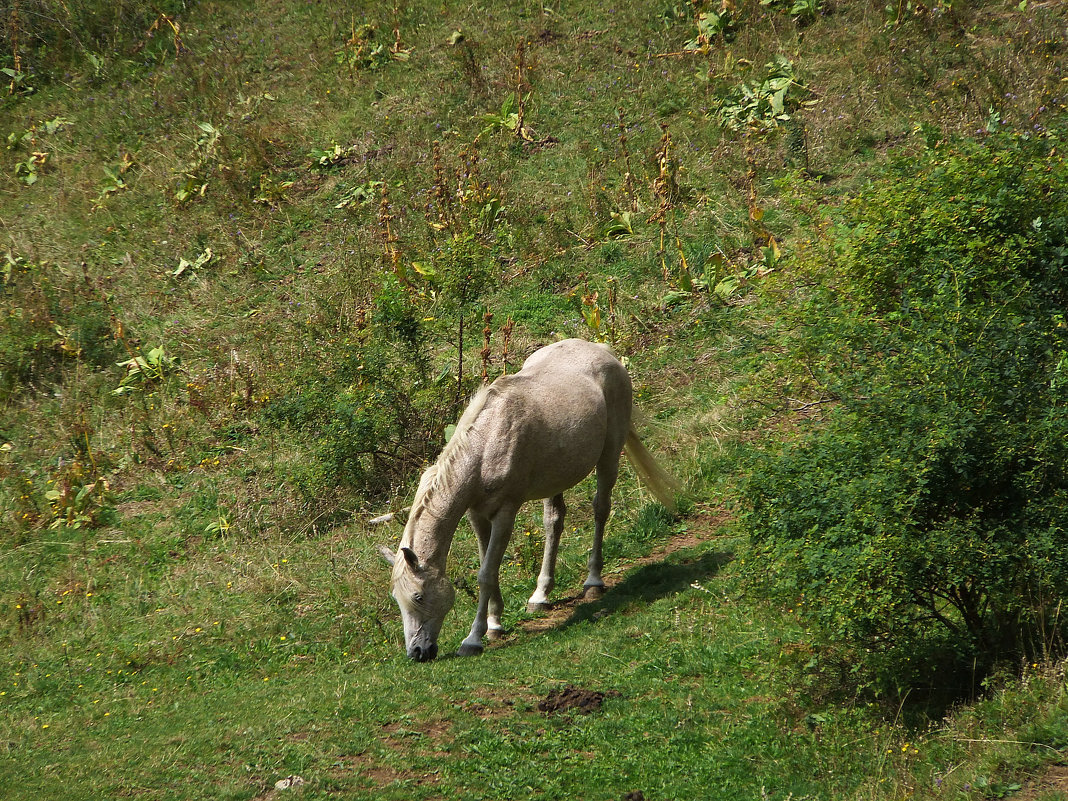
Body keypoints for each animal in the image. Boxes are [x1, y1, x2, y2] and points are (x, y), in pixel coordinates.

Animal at [378, 341, 674, 662]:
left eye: (418, 596)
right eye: (397, 598)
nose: (418, 652)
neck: (485, 445)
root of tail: (602, 350)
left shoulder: (505, 513)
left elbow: (486, 574)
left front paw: (473, 639)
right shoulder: (477, 515)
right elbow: (489, 566)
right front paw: (494, 625)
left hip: (609, 456)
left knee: (601, 509)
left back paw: (593, 582)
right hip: (557, 477)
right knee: (554, 522)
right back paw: (540, 596)